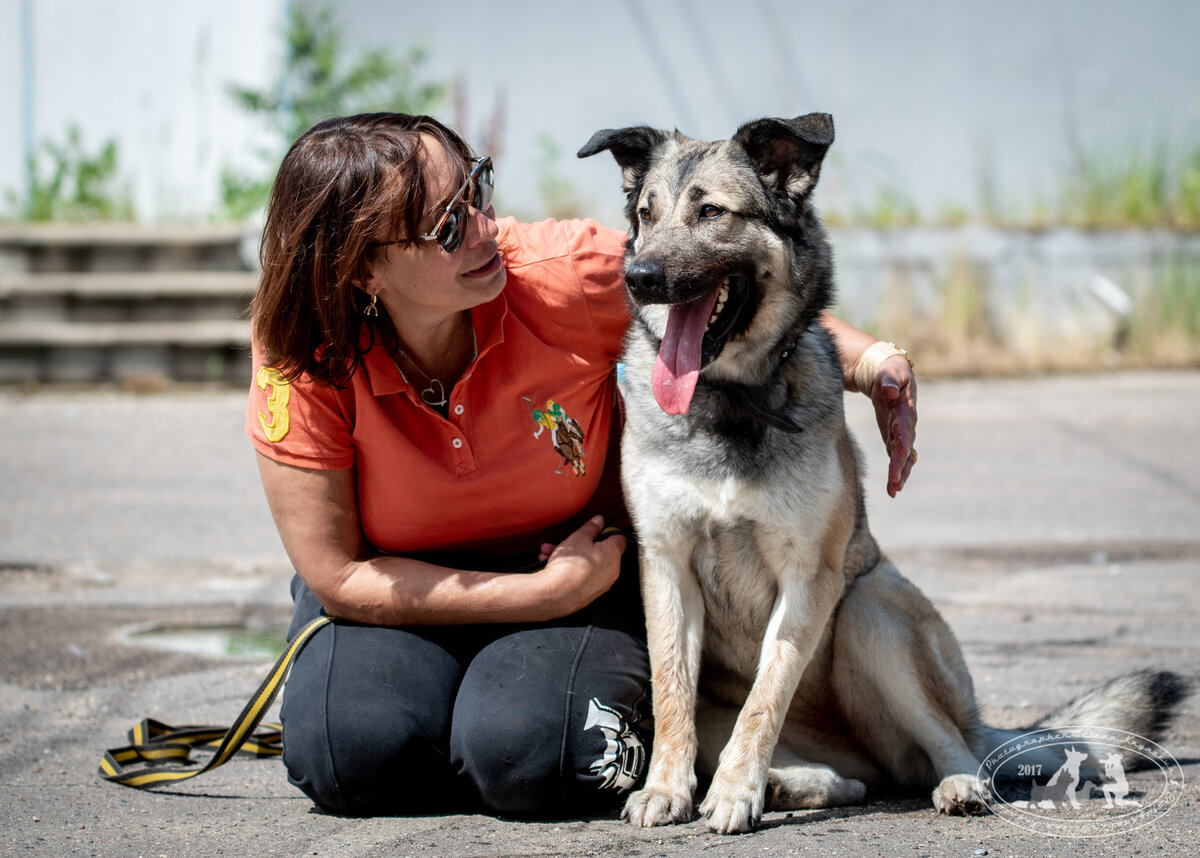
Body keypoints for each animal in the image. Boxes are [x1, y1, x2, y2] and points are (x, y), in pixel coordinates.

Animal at [576, 112, 1185, 830]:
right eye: (646, 214)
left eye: (711, 212)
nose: (638, 276)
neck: (732, 397)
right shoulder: (667, 566)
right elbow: (673, 691)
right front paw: (670, 786)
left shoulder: (810, 578)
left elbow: (766, 696)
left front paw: (732, 792)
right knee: (852, 781)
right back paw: (789, 785)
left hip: (872, 613)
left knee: (946, 747)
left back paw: (954, 785)